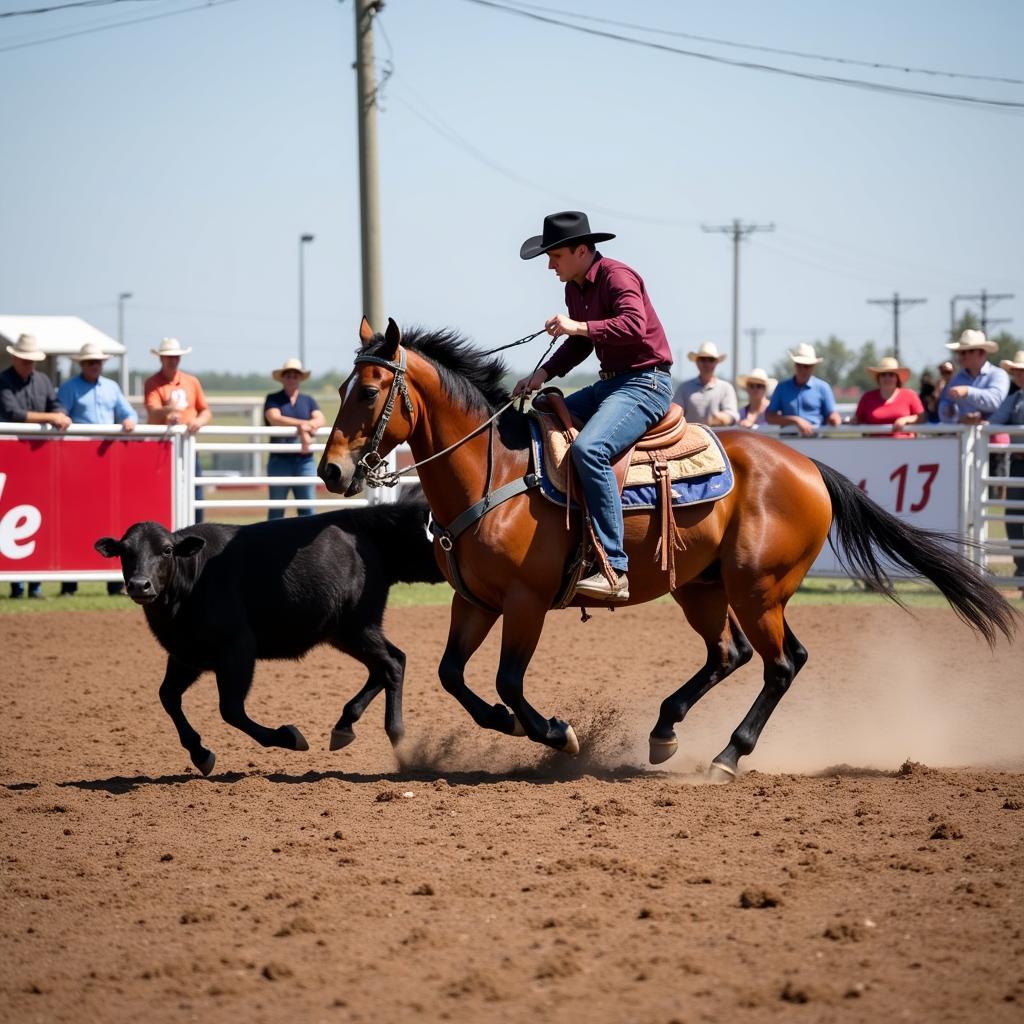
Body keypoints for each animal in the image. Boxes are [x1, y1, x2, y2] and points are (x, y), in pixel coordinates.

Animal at [317, 319, 1015, 774]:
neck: (497, 470)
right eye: (344, 387)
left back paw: (728, 755)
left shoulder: (525, 602)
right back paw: (664, 731)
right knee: (731, 654)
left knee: (781, 663)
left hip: (758, 589)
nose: (330, 471)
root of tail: (807, 466)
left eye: (371, 389)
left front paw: (558, 734)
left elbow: (508, 681)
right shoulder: (475, 602)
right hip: (707, 589)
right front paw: (509, 725)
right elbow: (453, 675)